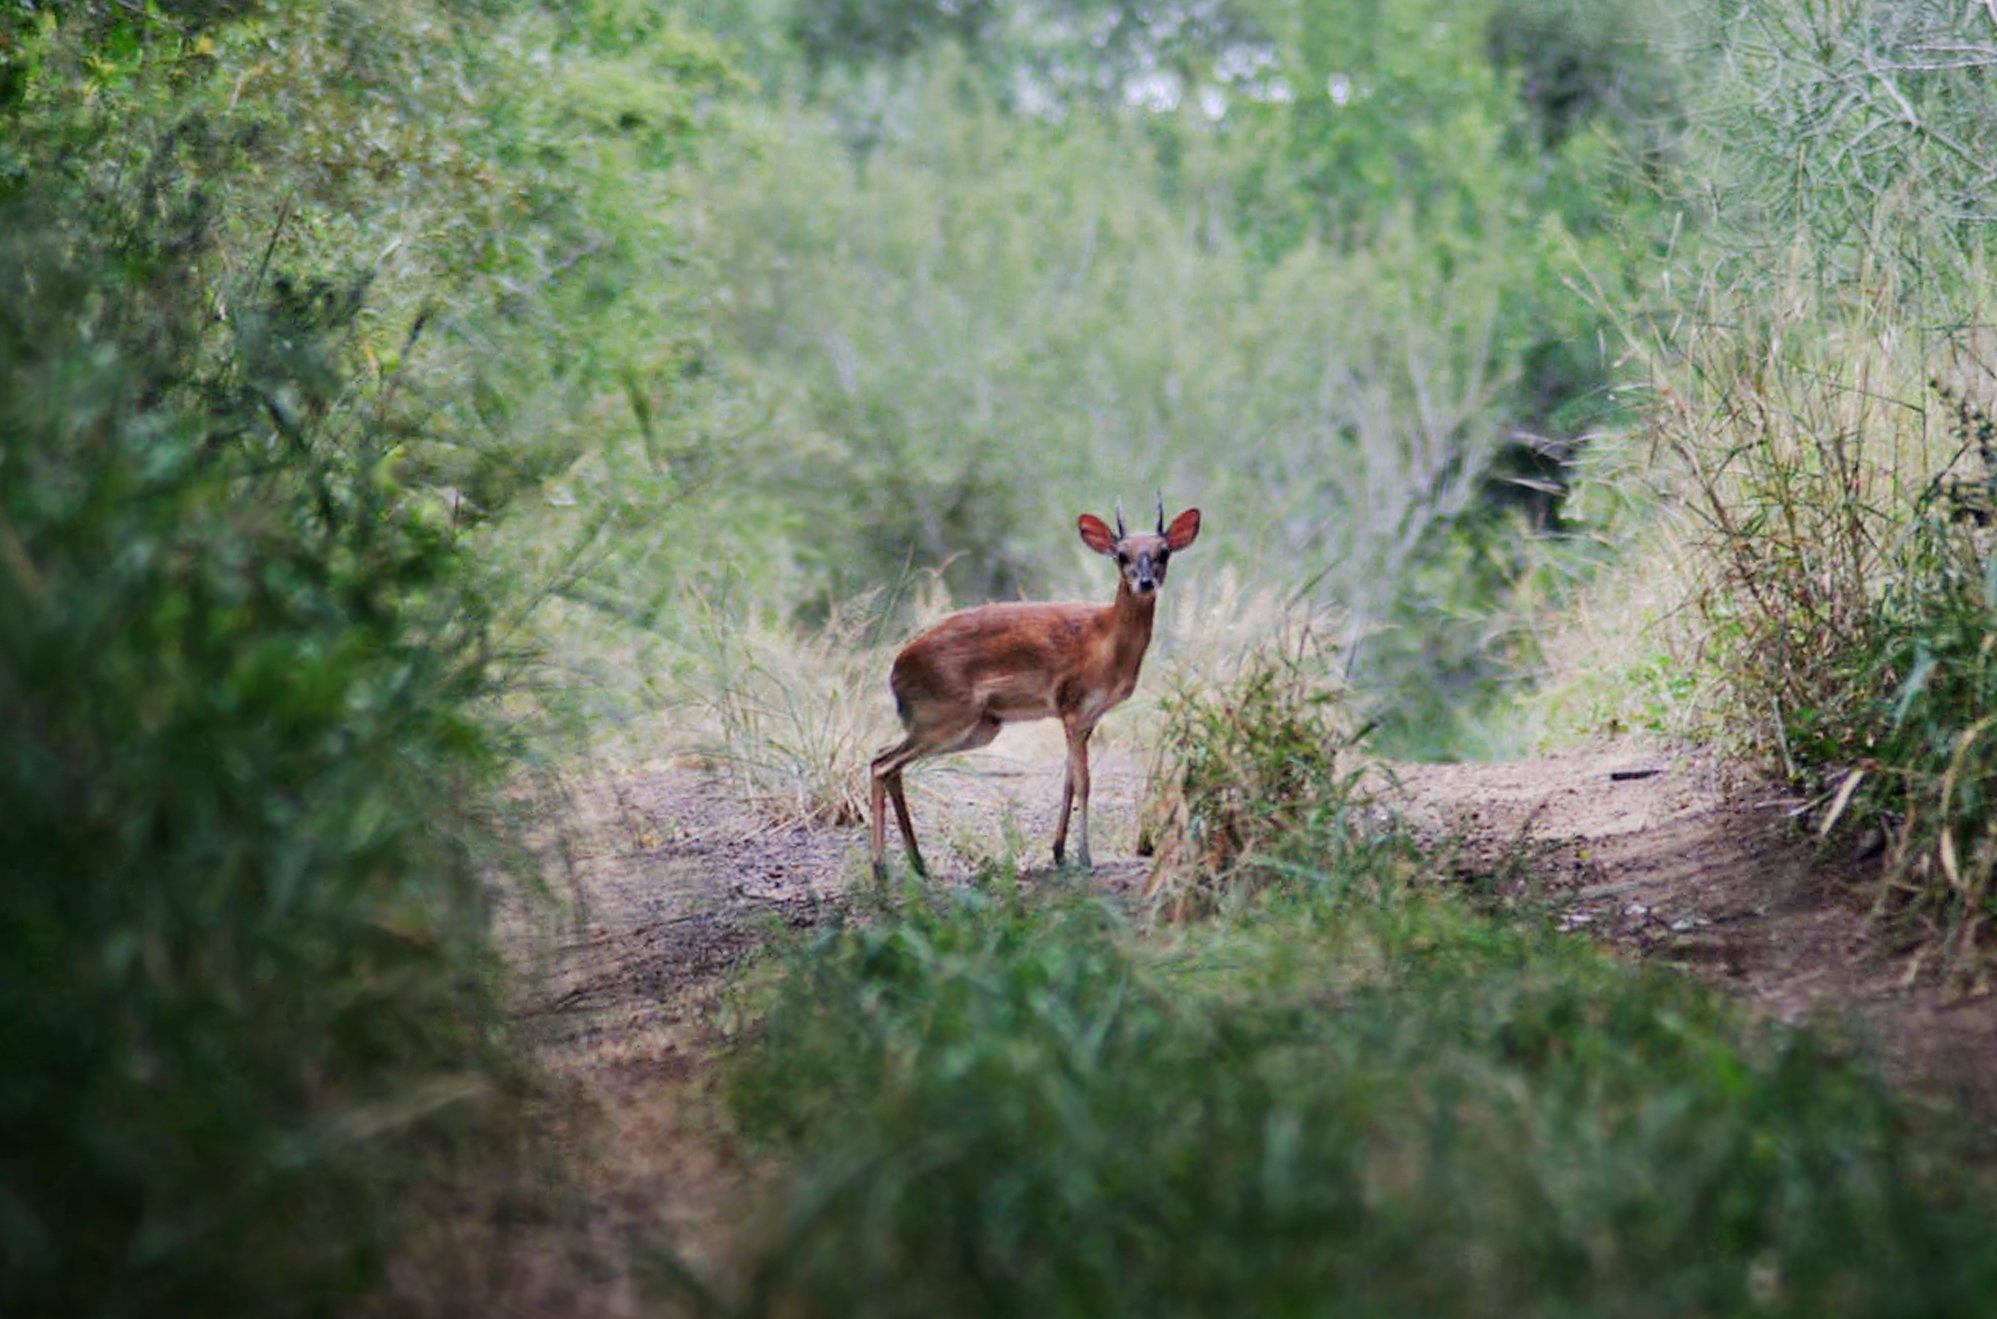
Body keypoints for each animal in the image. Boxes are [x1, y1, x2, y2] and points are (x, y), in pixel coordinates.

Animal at [869, 498, 1203, 877]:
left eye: (1164, 552)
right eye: (1122, 554)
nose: (1146, 582)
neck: (1105, 640)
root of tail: (896, 670)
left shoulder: (1087, 719)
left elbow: (1069, 781)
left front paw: (1059, 852)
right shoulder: (1072, 707)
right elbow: (1084, 783)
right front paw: (1084, 857)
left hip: (976, 728)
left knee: (886, 760)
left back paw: (917, 865)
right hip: (945, 719)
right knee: (882, 764)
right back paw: (881, 868)